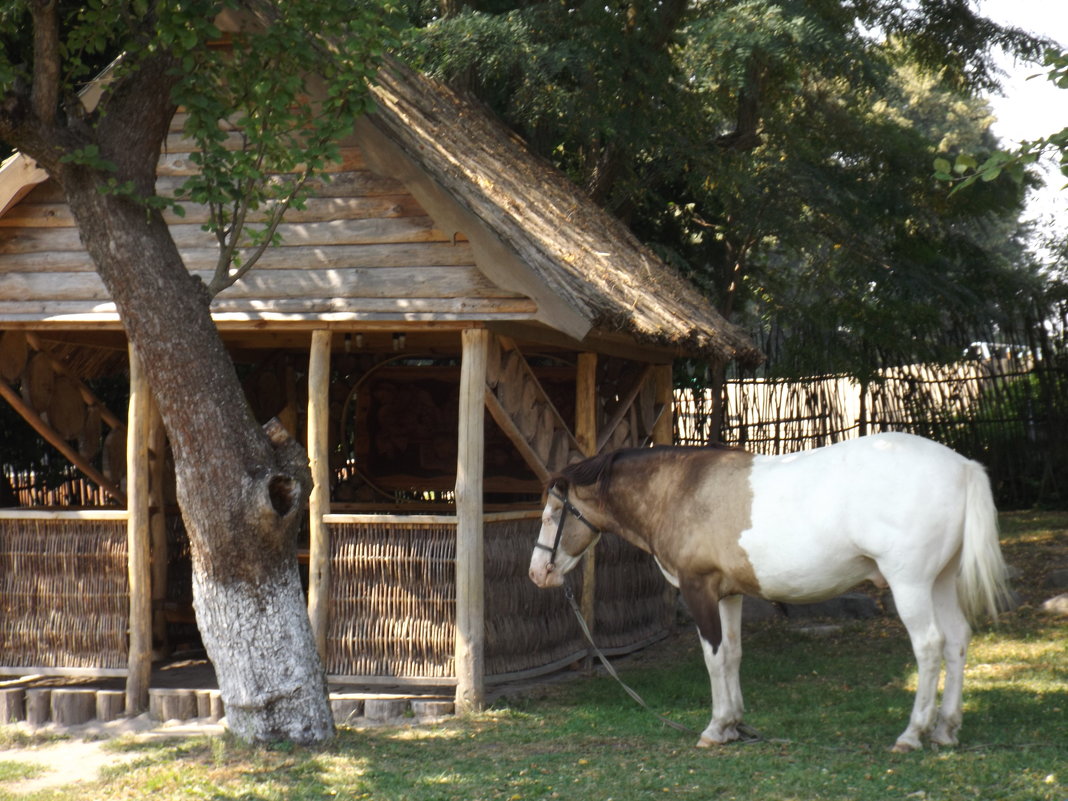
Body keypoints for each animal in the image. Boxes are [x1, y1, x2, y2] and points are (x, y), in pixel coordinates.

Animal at [529, 433, 1012, 751]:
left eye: (552, 514)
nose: (537, 572)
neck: (682, 489)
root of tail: (962, 466)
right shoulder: (729, 595)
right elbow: (733, 654)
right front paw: (734, 725)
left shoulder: (698, 589)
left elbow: (713, 657)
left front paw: (715, 728)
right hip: (941, 581)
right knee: (956, 641)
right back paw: (946, 729)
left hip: (910, 583)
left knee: (929, 646)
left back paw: (912, 734)